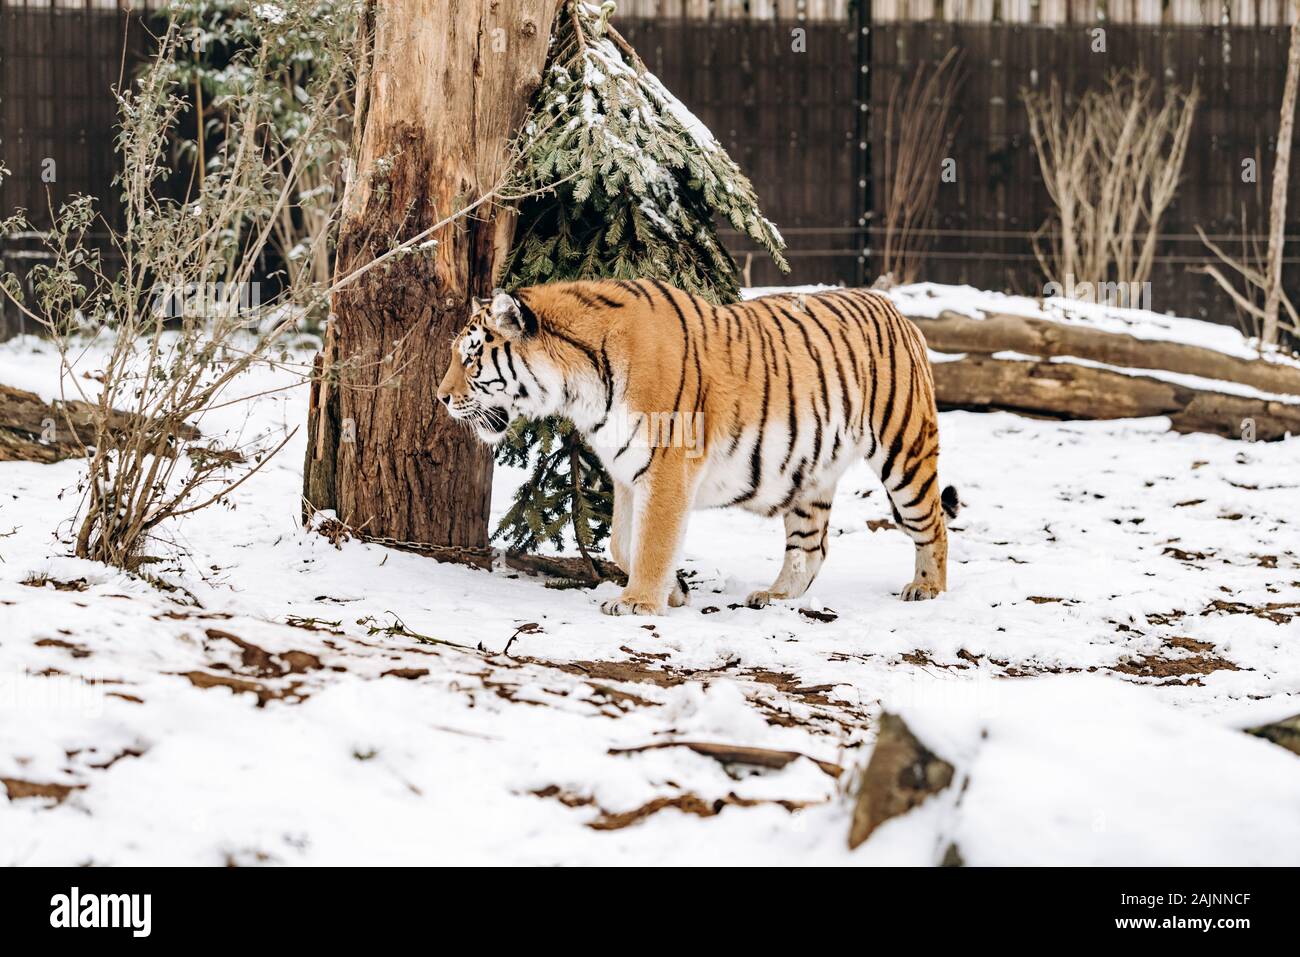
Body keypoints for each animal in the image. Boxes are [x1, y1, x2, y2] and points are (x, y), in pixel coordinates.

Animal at [436, 280, 956, 616]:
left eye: (471, 358)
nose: (440, 397)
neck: (579, 386)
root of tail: (899, 313)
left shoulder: (666, 467)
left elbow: (652, 539)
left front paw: (638, 603)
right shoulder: (626, 472)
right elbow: (622, 543)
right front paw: (675, 592)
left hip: (904, 451)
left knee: (932, 522)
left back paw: (925, 588)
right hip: (809, 475)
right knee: (812, 546)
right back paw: (777, 596)